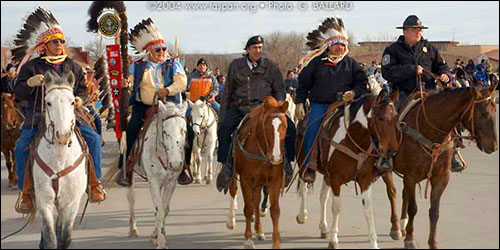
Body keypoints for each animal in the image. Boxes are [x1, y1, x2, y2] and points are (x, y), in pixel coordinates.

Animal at [33, 71, 87, 249]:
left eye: (72, 101)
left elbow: (65, 238)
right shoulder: (44, 200)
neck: (59, 159)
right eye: (48, 102)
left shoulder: (71, 203)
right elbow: (50, 237)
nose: (63, 135)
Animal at [127, 100, 188, 249]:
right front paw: (160, 241)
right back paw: (133, 229)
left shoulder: (171, 182)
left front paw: (157, 235)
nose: (176, 164)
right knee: (131, 199)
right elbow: (159, 211)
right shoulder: (153, 182)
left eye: (184, 130)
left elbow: (164, 209)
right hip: (131, 175)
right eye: (165, 132)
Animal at [225, 95, 288, 248]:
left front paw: (276, 243)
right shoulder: (245, 180)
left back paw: (259, 230)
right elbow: (248, 208)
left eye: (284, 126)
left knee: (257, 199)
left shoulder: (275, 181)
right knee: (233, 190)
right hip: (235, 172)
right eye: (267, 127)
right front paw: (248, 240)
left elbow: (275, 211)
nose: (276, 157)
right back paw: (231, 221)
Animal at [294, 89, 400, 248]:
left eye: (396, 118)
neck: (353, 140)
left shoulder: (365, 180)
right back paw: (302, 216)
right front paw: (334, 240)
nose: (393, 151)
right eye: (380, 118)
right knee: (304, 186)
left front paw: (374, 243)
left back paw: (323, 227)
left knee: (323, 196)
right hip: (303, 164)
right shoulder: (336, 179)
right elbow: (337, 207)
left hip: (327, 175)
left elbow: (369, 211)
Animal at [382, 83, 496, 248]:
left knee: (404, 194)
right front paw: (410, 239)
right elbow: (413, 208)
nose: (493, 146)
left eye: (495, 111)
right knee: (392, 193)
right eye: (483, 113)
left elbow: (434, 211)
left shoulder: (440, 177)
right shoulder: (411, 176)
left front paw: (432, 243)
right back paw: (396, 228)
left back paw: (402, 225)